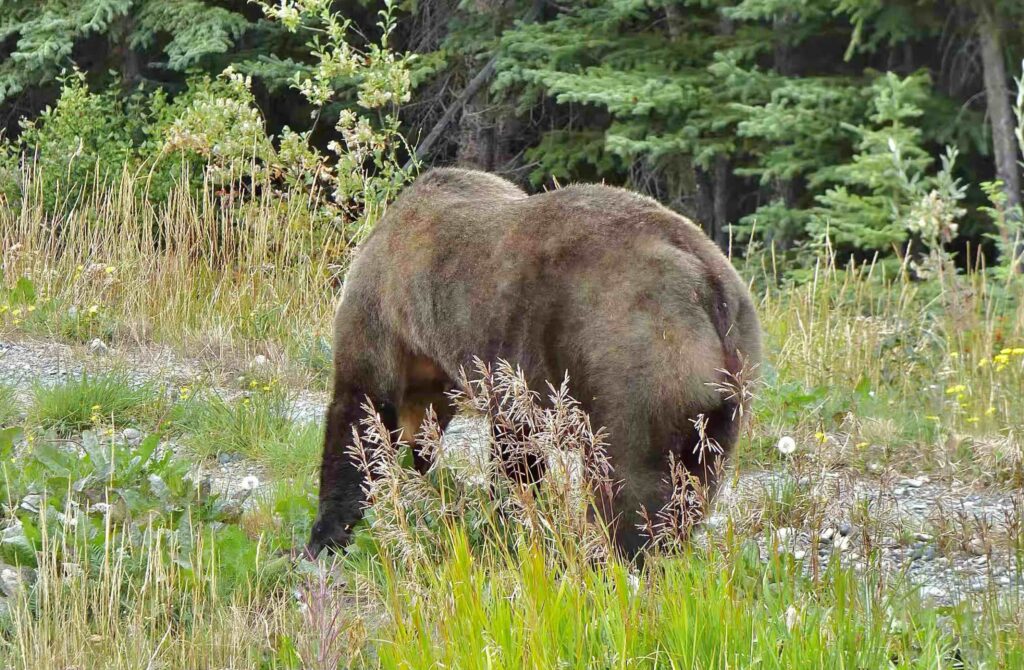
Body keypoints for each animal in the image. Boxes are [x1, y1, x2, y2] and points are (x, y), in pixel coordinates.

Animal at [307, 169, 765, 561]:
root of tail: (706, 282)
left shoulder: (385, 310)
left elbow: (359, 410)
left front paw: (326, 533)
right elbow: (511, 445)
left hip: (636, 358)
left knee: (628, 481)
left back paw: (606, 556)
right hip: (726, 387)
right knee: (693, 479)